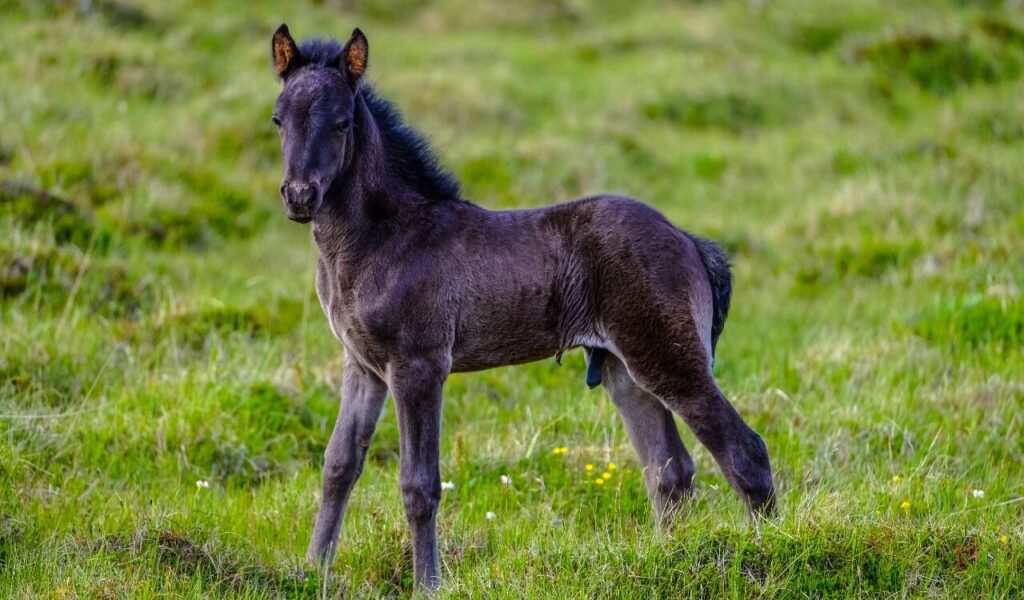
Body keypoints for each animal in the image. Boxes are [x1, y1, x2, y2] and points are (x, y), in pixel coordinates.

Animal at [268, 24, 775, 591]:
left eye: (342, 123)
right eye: (279, 118)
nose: (299, 196)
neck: (383, 237)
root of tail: (689, 241)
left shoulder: (418, 365)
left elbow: (419, 483)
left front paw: (429, 585)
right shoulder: (362, 365)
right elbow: (338, 465)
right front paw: (311, 570)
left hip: (667, 356)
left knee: (744, 453)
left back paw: (768, 551)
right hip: (623, 370)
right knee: (670, 471)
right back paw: (670, 558)